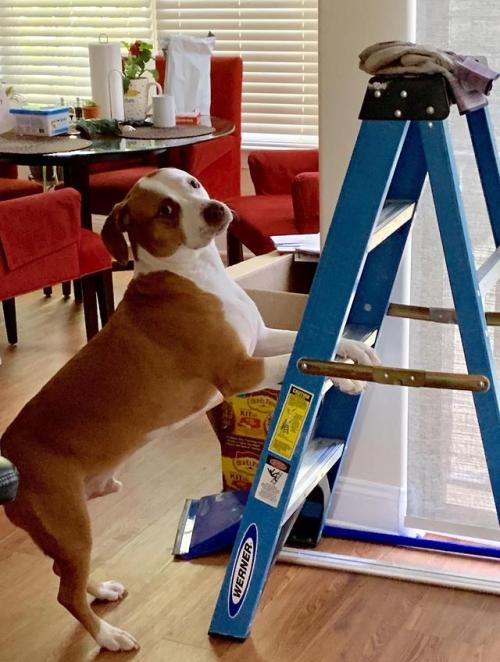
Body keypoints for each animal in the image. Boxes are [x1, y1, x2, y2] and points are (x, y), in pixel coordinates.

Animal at [1, 167, 378, 652]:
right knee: (66, 593)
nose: (216, 210)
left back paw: (101, 590)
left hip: (70, 530)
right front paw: (345, 377)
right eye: (166, 209)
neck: (195, 273)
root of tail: (9, 453)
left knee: (66, 576)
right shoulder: (240, 370)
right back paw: (109, 636)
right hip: (70, 525)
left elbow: (313, 343)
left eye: (192, 184)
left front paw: (356, 358)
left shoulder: (260, 340)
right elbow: (304, 359)